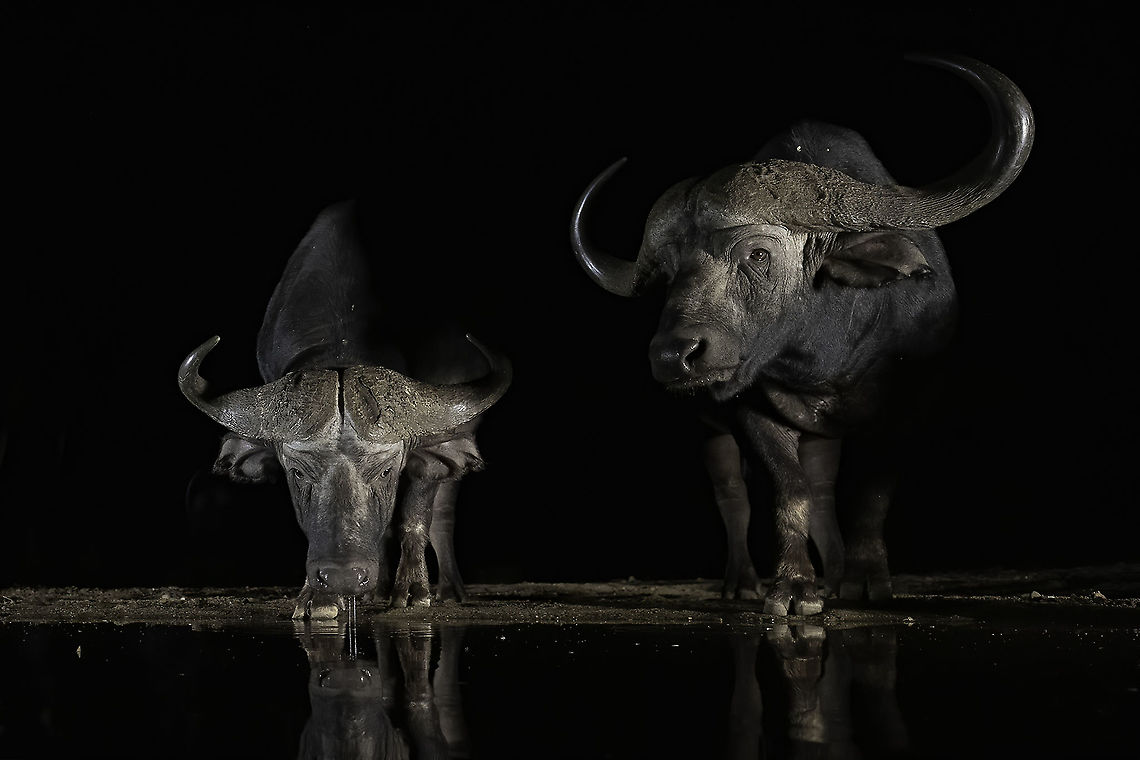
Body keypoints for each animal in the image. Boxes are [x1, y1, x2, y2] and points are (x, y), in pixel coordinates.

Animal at [179, 201, 511, 618]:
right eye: (297, 472)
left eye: (386, 470)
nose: (342, 576)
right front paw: (318, 596)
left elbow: (415, 514)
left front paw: (412, 590)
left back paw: (449, 588)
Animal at [570, 55, 1034, 615]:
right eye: (666, 273)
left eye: (758, 253)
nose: (673, 355)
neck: (826, 360)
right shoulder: (748, 408)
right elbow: (788, 490)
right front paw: (793, 585)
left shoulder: (911, 403)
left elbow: (871, 491)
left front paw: (863, 580)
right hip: (710, 427)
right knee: (734, 494)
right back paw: (743, 581)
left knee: (823, 489)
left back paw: (835, 573)